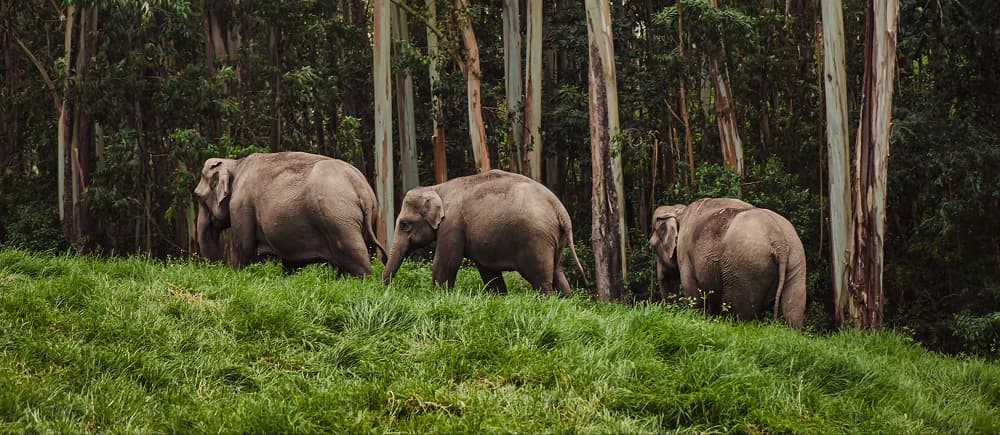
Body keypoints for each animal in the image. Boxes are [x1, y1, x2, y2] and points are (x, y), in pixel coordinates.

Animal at [194, 151, 386, 277]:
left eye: (198, 196)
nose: (216, 269)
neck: (236, 164)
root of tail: (360, 186)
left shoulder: (240, 206)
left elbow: (244, 250)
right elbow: (290, 261)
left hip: (339, 219)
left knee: (356, 259)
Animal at [382, 169, 587, 296]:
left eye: (404, 225)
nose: (386, 288)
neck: (436, 188)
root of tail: (559, 208)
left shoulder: (452, 225)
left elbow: (446, 263)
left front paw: (438, 295)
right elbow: (488, 271)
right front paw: (500, 297)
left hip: (536, 239)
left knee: (540, 278)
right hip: (555, 238)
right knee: (557, 272)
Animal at [649, 198, 807, 329]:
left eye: (652, 246)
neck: (680, 211)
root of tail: (778, 240)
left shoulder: (684, 253)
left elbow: (694, 295)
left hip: (745, 268)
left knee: (741, 313)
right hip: (796, 258)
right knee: (794, 307)